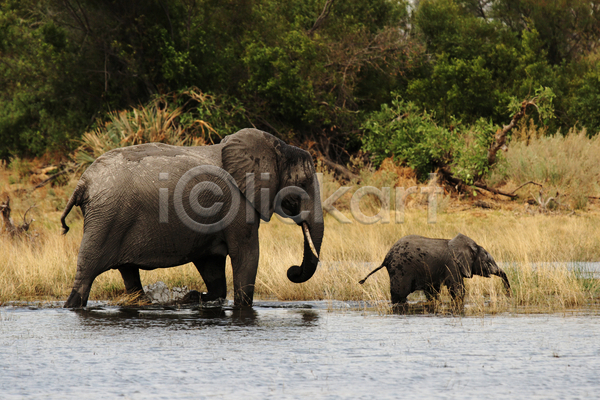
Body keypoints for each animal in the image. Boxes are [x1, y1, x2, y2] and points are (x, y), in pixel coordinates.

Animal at [61, 128, 324, 308]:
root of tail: (83, 183)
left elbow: (211, 264)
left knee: (128, 273)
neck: (276, 147)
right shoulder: (239, 203)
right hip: (106, 217)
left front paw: (193, 298)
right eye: (302, 185)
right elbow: (246, 254)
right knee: (87, 272)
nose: (292, 271)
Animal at [359, 234, 510, 307]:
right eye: (488, 262)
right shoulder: (452, 264)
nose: (509, 295)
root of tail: (386, 257)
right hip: (400, 269)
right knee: (400, 294)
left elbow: (433, 292)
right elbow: (457, 289)